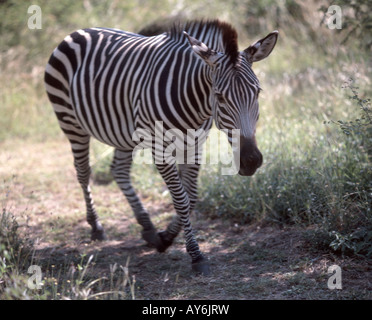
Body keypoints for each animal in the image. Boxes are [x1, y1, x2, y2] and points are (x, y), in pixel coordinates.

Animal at [44, 20, 276, 276]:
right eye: (220, 96)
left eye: (257, 92)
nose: (251, 160)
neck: (194, 103)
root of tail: (81, 30)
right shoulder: (159, 148)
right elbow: (181, 199)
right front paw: (196, 255)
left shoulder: (195, 144)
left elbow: (191, 197)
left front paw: (165, 237)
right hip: (70, 121)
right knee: (83, 172)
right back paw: (96, 226)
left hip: (124, 132)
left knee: (119, 170)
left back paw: (147, 227)